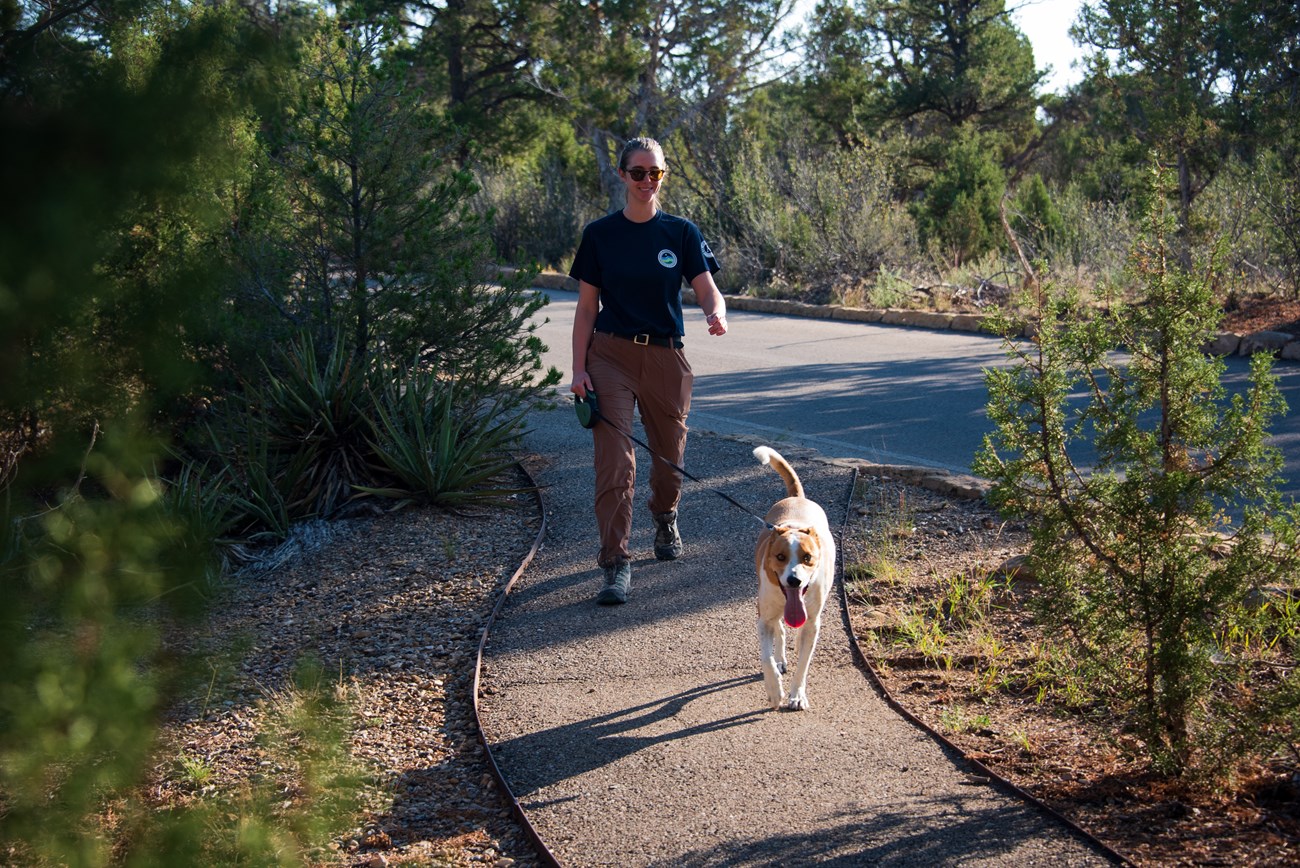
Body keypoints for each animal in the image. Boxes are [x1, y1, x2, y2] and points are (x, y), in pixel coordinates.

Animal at [754, 446, 832, 712]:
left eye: (807, 557)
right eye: (780, 556)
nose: (794, 581)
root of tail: (796, 498)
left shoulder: (812, 621)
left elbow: (804, 663)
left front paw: (797, 695)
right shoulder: (764, 619)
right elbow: (765, 657)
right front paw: (774, 690)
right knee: (779, 627)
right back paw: (780, 660)